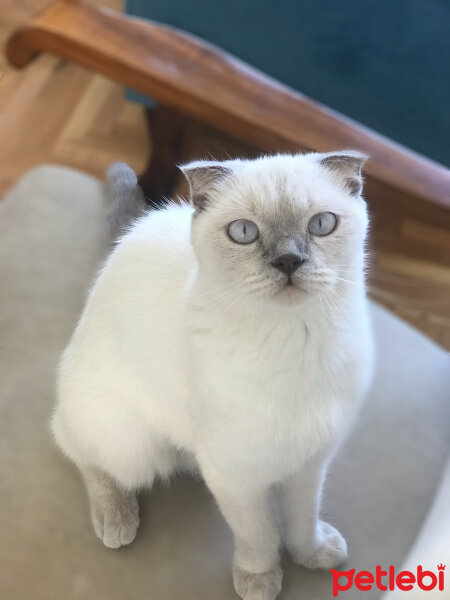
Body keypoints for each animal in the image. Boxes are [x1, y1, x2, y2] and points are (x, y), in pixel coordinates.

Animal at [51, 151, 372, 600]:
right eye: (244, 232)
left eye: (321, 224)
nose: (289, 261)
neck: (296, 341)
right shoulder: (235, 474)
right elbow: (258, 534)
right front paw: (260, 580)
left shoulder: (310, 460)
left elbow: (302, 519)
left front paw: (313, 554)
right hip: (133, 445)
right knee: (75, 446)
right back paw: (116, 519)